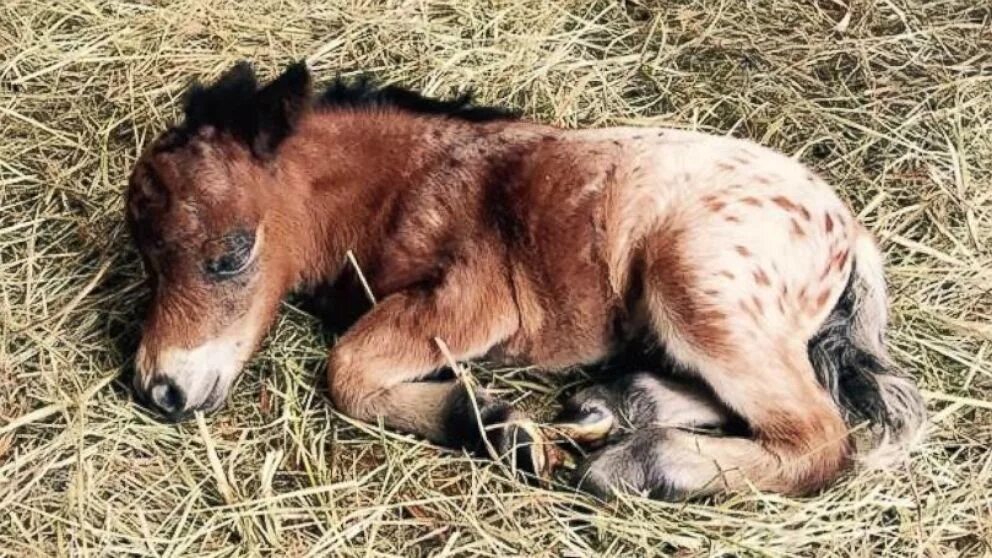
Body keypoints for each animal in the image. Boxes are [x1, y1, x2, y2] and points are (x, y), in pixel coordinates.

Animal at [128, 62, 928, 504]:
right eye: (144, 254)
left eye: (231, 256)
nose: (159, 390)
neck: (408, 185)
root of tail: (850, 232)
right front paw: (503, 427)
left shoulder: (473, 303)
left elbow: (347, 368)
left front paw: (494, 424)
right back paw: (618, 404)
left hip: (697, 282)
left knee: (818, 437)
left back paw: (642, 463)